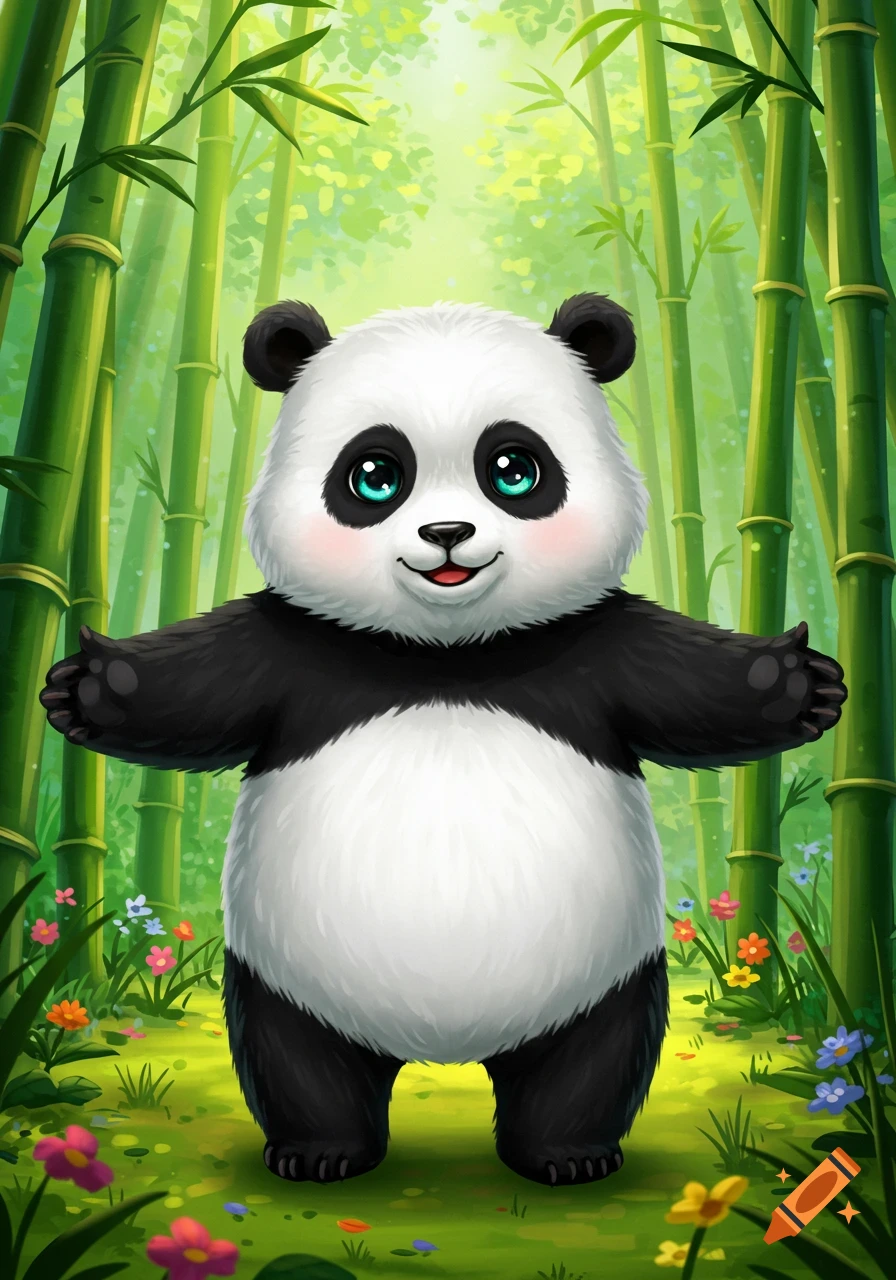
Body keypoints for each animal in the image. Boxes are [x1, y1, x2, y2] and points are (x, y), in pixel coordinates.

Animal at [41, 293, 847, 1188]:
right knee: (296, 1056)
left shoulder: (592, 643)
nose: (448, 533)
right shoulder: (296, 645)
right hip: (286, 971)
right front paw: (88, 686)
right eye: (375, 475)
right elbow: (196, 691)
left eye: (514, 468)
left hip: (604, 971)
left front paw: (799, 682)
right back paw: (321, 1151)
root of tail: (445, 1046)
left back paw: (566, 1155)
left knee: (594, 1056)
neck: (447, 653)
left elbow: (690, 689)